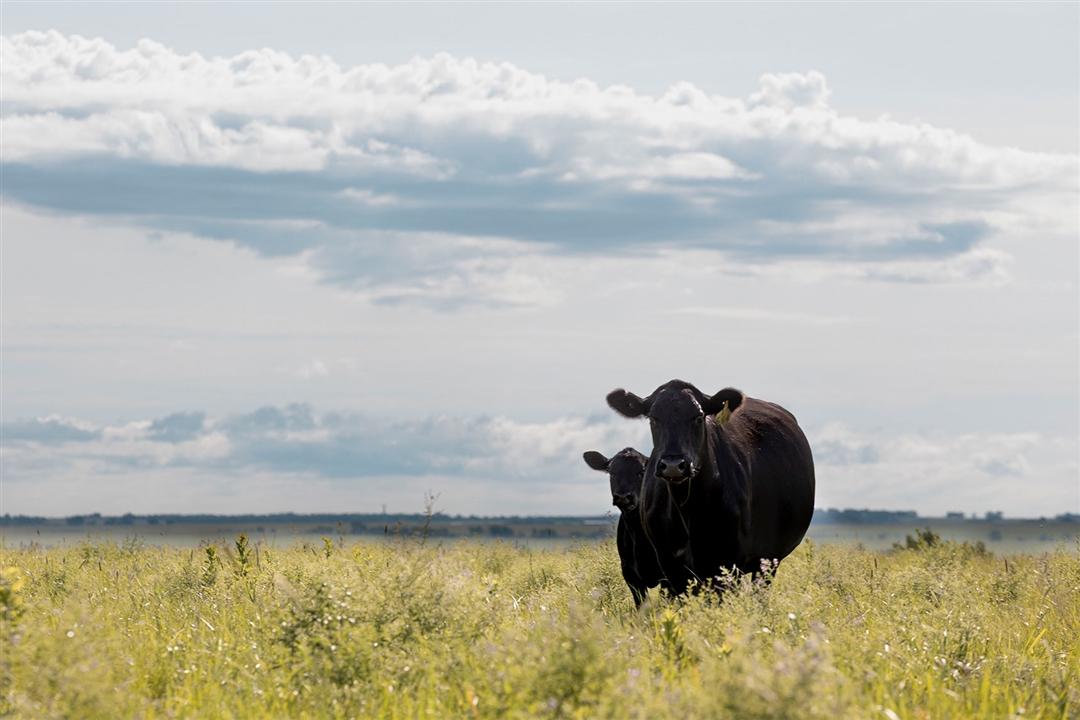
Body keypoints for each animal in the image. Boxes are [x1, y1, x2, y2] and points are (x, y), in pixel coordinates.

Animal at [606, 379, 815, 595]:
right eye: (653, 418)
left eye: (698, 417)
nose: (673, 465)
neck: (688, 509)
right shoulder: (669, 565)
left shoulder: (726, 561)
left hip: (768, 560)